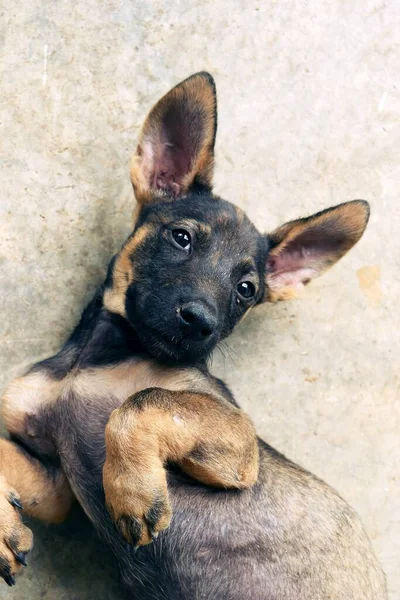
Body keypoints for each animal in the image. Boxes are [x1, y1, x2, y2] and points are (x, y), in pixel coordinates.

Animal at [0, 72, 388, 596]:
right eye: (181, 237)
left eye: (246, 290)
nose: (201, 322)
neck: (97, 358)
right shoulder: (56, 482)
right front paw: (6, 527)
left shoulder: (237, 440)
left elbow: (143, 401)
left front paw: (132, 490)